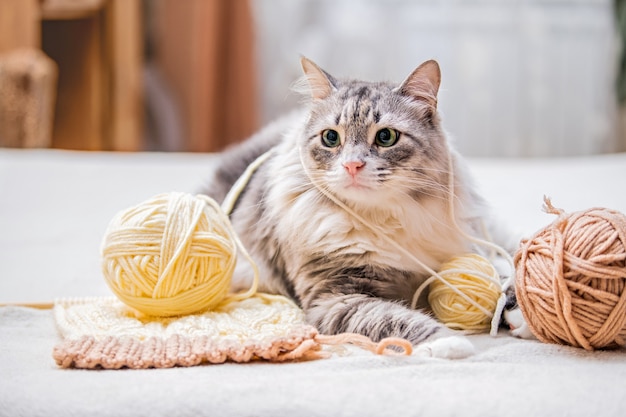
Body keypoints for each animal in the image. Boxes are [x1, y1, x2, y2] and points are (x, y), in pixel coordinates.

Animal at [202, 56, 524, 358]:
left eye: (386, 137)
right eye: (331, 137)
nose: (352, 165)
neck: (384, 219)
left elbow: (497, 274)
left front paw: (516, 308)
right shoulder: (336, 296)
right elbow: (398, 320)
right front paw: (449, 342)